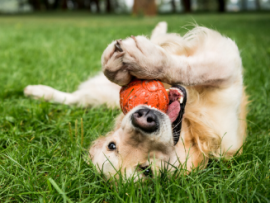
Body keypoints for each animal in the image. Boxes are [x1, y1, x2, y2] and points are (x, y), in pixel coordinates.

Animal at [24, 21, 248, 178]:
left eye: (147, 169)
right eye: (112, 145)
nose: (143, 119)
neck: (190, 127)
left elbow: (192, 68)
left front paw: (141, 61)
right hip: (99, 96)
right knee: (74, 99)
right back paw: (36, 91)